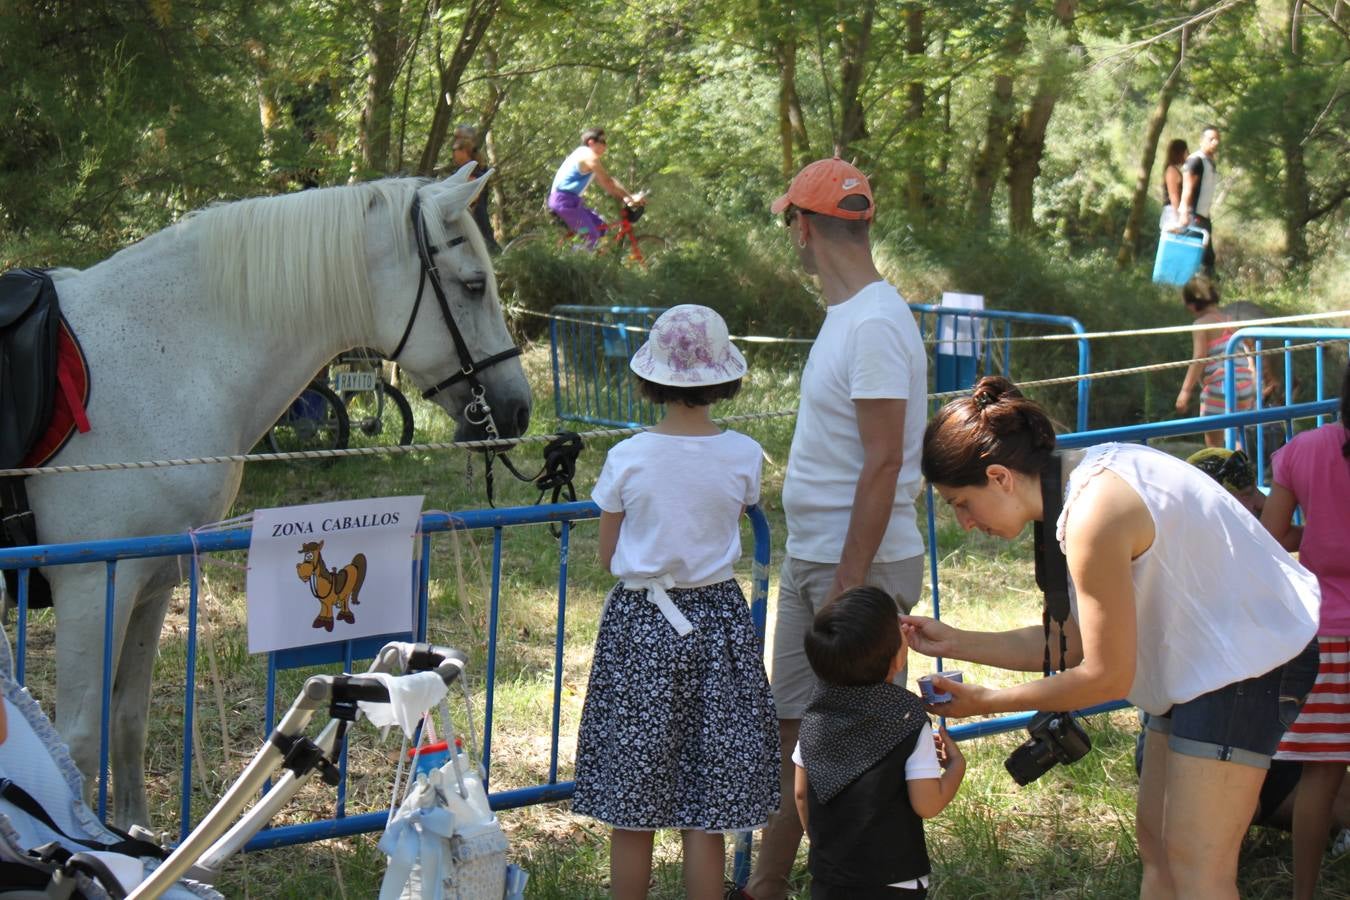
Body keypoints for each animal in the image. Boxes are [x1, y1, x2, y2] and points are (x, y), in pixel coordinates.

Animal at [24, 163, 531, 831]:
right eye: (473, 285)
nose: (517, 410)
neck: (161, 361)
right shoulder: (88, 587)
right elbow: (78, 742)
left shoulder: (147, 581)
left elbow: (126, 720)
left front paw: (138, 835)